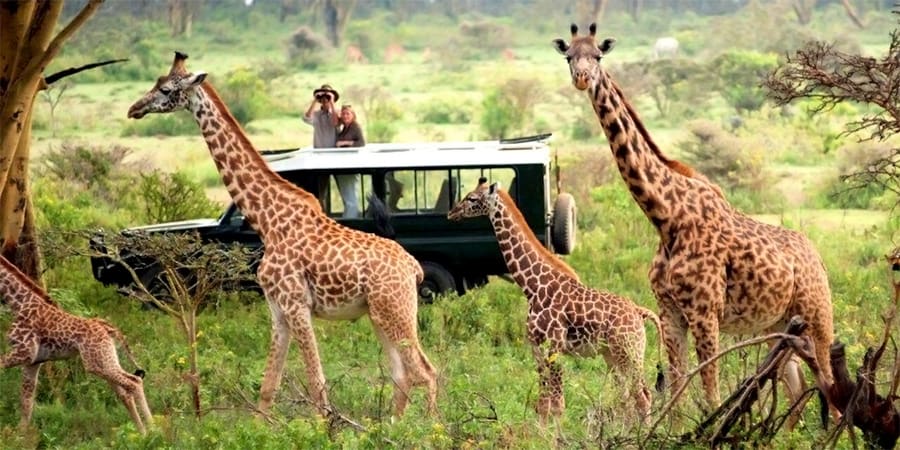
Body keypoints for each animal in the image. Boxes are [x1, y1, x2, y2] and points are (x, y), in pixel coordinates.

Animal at [0, 255, 153, 434]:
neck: (18, 303)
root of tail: (107, 328)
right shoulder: (32, 362)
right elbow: (26, 403)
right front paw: (21, 436)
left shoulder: (24, 352)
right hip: (106, 359)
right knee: (126, 391)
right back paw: (144, 432)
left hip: (95, 364)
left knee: (133, 383)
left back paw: (153, 430)